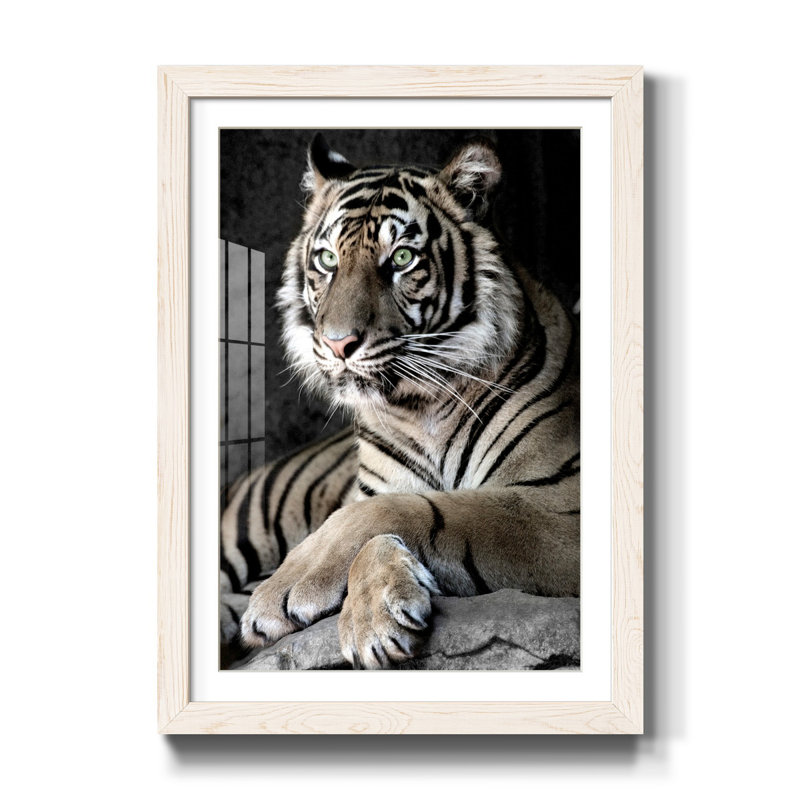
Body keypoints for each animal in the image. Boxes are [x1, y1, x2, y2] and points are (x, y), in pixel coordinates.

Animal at [220, 134, 580, 669]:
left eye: (404, 258)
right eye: (328, 261)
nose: (338, 344)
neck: (420, 411)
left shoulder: (565, 506)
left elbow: (411, 510)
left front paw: (299, 591)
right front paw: (370, 616)